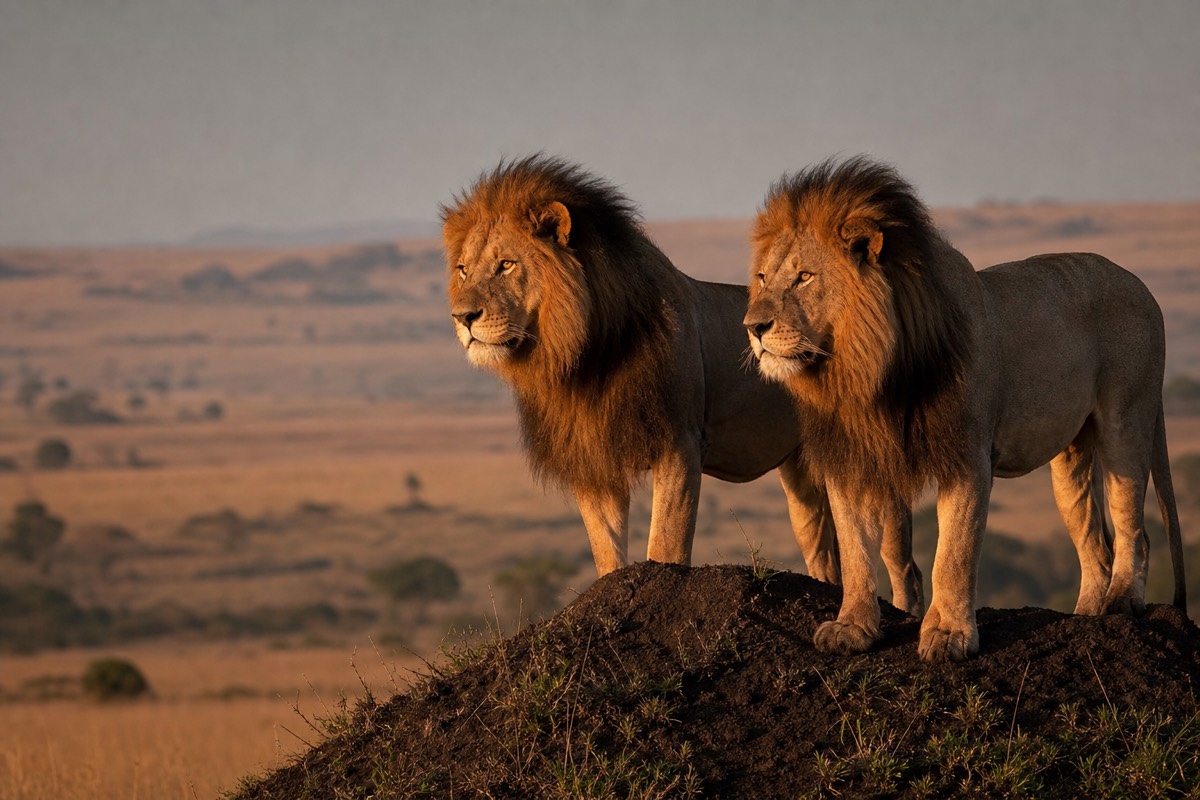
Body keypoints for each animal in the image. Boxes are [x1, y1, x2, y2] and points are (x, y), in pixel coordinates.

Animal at [440, 155, 923, 614]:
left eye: (506, 265)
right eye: (463, 270)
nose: (462, 317)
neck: (584, 358)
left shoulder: (680, 443)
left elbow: (666, 542)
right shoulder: (594, 458)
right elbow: (606, 550)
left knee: (905, 566)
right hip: (802, 474)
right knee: (825, 555)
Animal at [743, 156, 1187, 662]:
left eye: (804, 277)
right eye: (763, 278)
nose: (753, 327)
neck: (864, 374)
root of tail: (1141, 284)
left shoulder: (967, 454)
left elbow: (953, 553)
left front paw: (949, 634)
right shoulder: (851, 458)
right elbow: (854, 552)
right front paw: (852, 628)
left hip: (1126, 421)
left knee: (1135, 527)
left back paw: (1121, 601)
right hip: (1070, 458)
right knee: (1096, 542)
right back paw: (1087, 615)